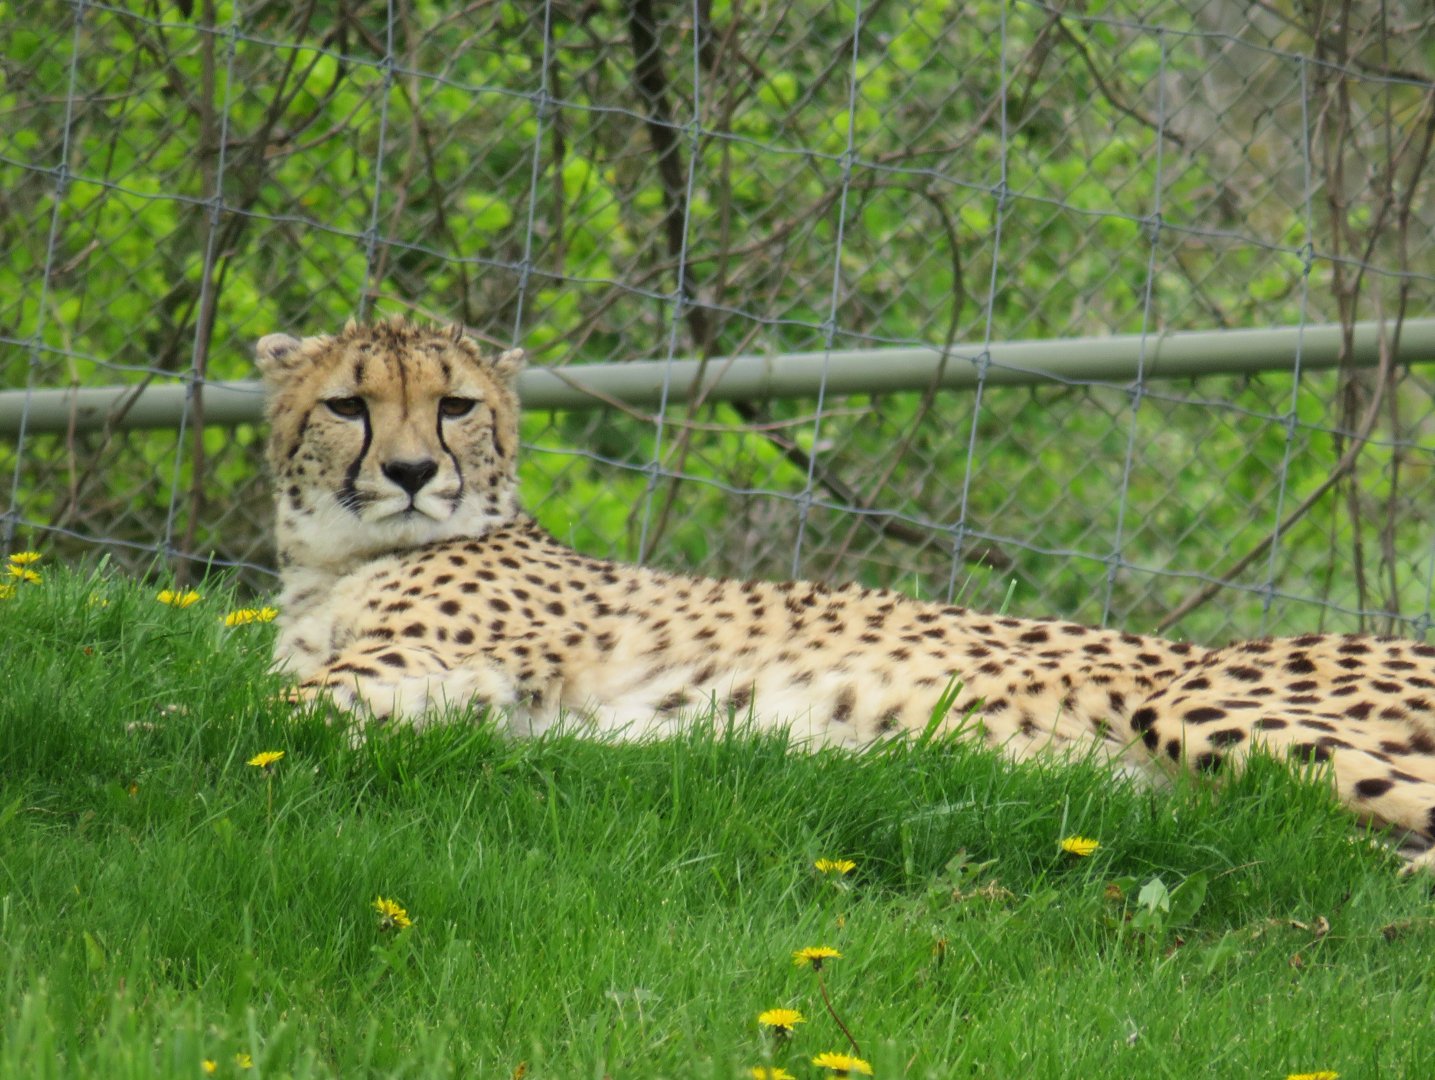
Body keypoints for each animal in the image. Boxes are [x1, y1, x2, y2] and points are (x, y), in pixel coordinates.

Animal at [257, 317, 1435, 870]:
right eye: (349, 406)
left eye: (455, 405)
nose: (413, 473)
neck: (335, 559)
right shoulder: (455, 695)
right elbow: (310, 708)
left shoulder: (433, 659)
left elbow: (261, 710)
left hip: (1195, 702)